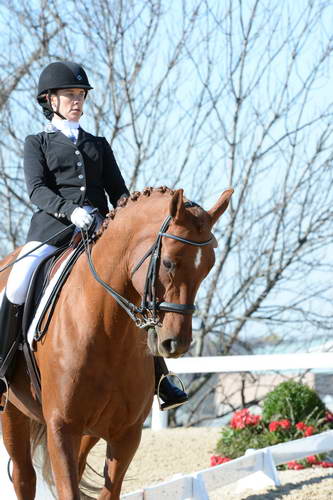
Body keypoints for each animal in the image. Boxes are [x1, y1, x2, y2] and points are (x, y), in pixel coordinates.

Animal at [0, 187, 231, 500]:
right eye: (168, 262)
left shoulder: (126, 434)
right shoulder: (62, 427)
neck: (108, 331)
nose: (177, 343)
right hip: (12, 411)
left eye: (208, 266)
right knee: (24, 476)